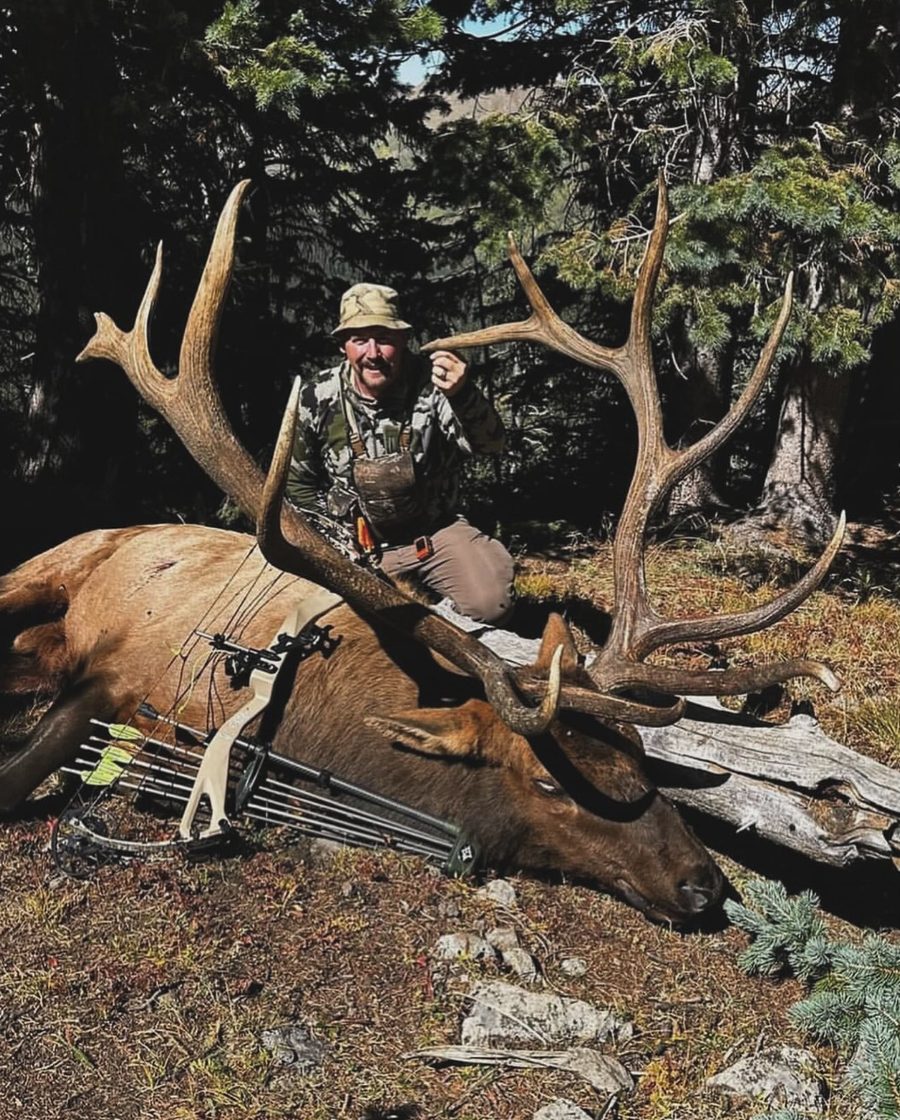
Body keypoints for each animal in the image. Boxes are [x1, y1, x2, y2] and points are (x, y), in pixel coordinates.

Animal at [0, 179, 843, 924]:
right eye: (549, 781)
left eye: (638, 754)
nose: (706, 885)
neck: (294, 714)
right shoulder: (113, 678)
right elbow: (20, 774)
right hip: (48, 565)